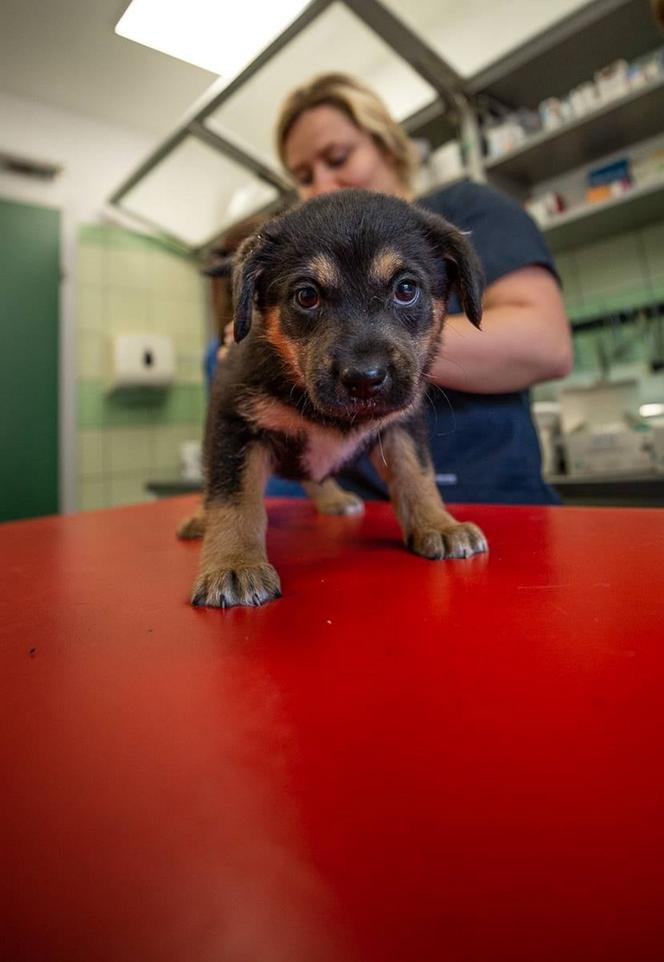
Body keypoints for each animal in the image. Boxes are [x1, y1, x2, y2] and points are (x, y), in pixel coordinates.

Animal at [182, 188, 488, 608]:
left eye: (406, 289)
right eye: (306, 296)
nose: (364, 379)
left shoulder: (402, 424)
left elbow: (417, 474)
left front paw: (439, 524)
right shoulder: (235, 423)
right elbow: (233, 499)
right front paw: (233, 564)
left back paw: (333, 498)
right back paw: (202, 519)